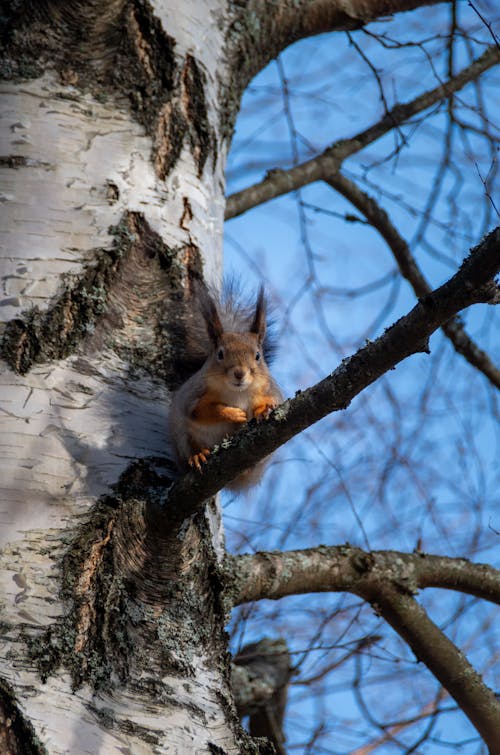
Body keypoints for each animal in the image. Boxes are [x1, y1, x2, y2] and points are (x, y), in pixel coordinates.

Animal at [169, 280, 284, 494]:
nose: (239, 373)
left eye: (258, 355)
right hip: (181, 437)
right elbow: (201, 411)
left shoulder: (268, 390)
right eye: (220, 354)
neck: (237, 392)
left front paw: (263, 410)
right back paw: (197, 456)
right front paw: (233, 414)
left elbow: (267, 402)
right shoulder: (194, 395)